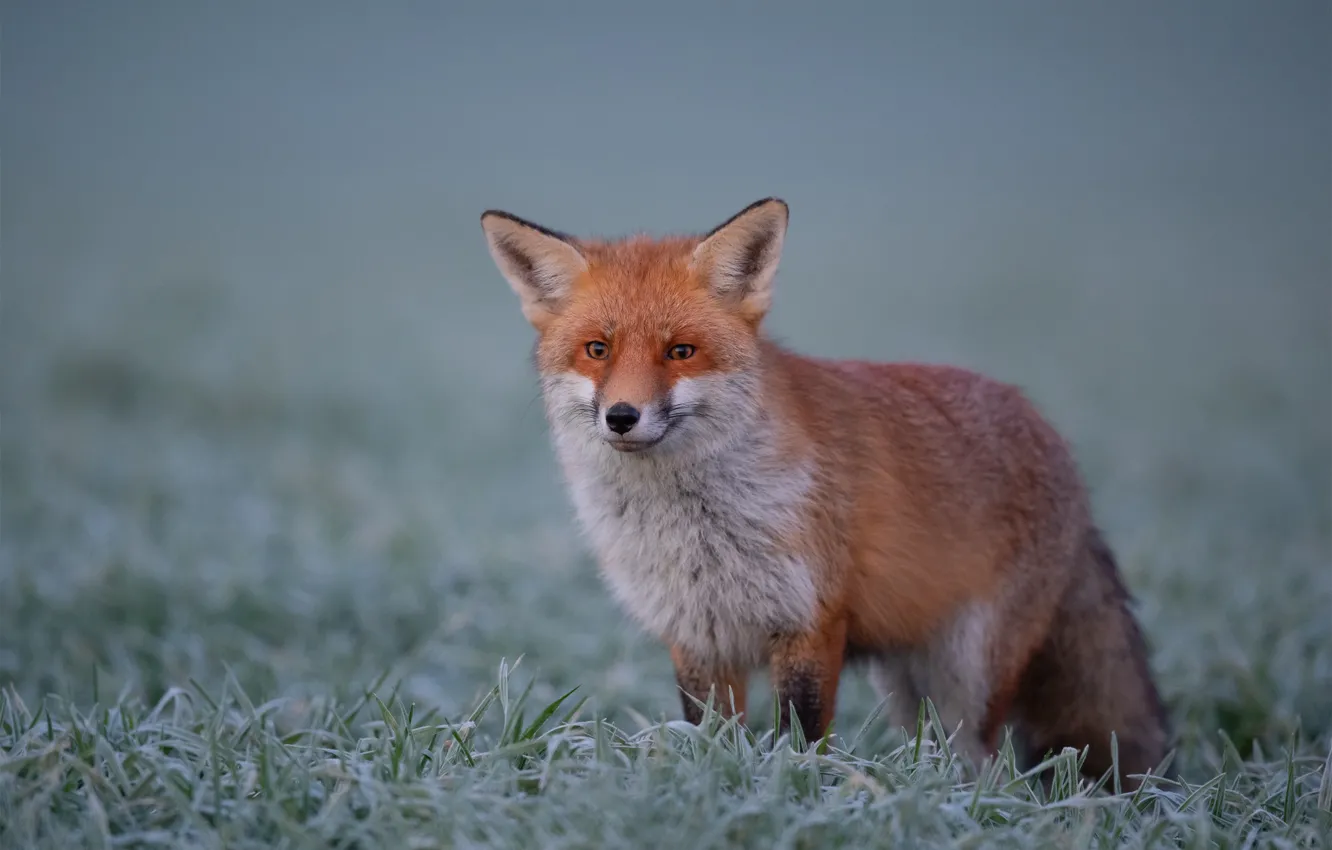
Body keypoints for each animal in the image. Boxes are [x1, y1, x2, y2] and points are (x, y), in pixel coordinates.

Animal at [479, 198, 1166, 788]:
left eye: (681, 352)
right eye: (597, 349)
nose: (621, 417)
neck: (695, 527)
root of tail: (1053, 437)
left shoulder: (810, 621)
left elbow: (802, 738)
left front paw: (797, 792)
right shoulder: (698, 634)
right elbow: (711, 737)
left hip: (968, 676)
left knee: (986, 763)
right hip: (908, 684)